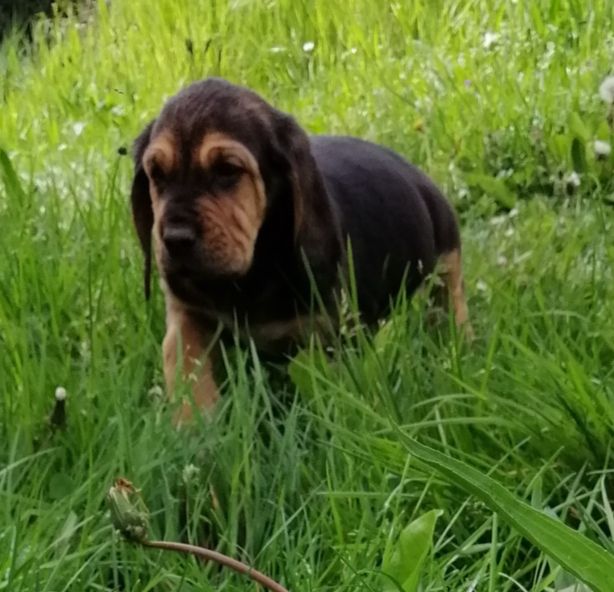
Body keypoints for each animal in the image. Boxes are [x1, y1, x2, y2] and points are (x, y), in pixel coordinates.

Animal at [129, 78, 471, 424]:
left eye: (227, 170)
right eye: (156, 174)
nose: (175, 239)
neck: (252, 273)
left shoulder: (334, 336)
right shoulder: (188, 314)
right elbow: (185, 367)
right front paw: (195, 426)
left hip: (445, 253)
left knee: (450, 298)